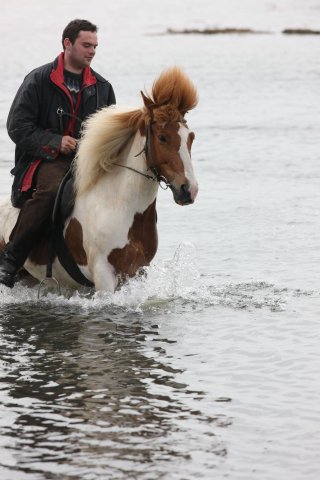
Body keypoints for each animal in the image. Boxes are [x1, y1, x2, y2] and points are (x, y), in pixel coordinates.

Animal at [0, 67, 199, 292]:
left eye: (190, 137)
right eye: (162, 137)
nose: (188, 189)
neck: (119, 206)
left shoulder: (137, 272)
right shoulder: (104, 276)